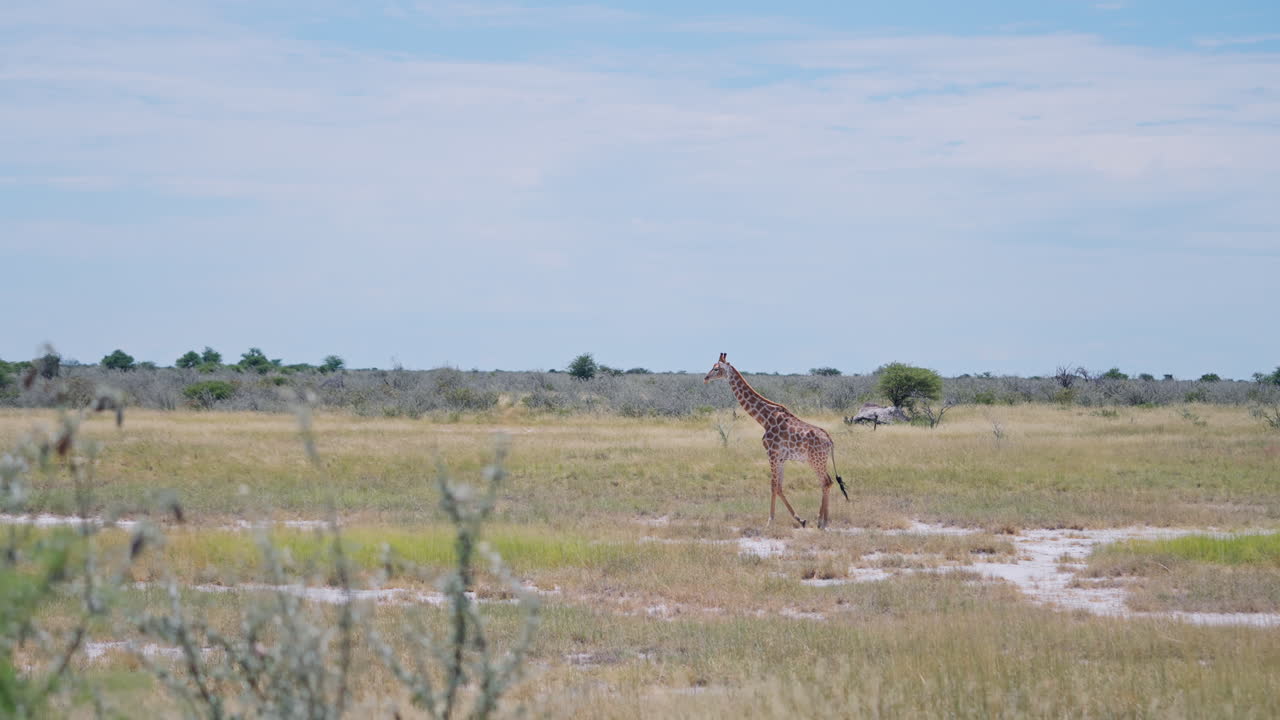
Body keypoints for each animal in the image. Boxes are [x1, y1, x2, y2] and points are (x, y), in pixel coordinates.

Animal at [704, 353, 849, 529]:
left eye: (716, 368)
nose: (706, 378)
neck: (765, 419)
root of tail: (830, 441)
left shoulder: (771, 453)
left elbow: (773, 486)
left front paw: (770, 521)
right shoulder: (781, 458)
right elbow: (779, 487)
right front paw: (800, 519)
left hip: (815, 460)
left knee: (826, 482)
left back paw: (823, 521)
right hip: (818, 460)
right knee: (826, 482)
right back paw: (820, 519)